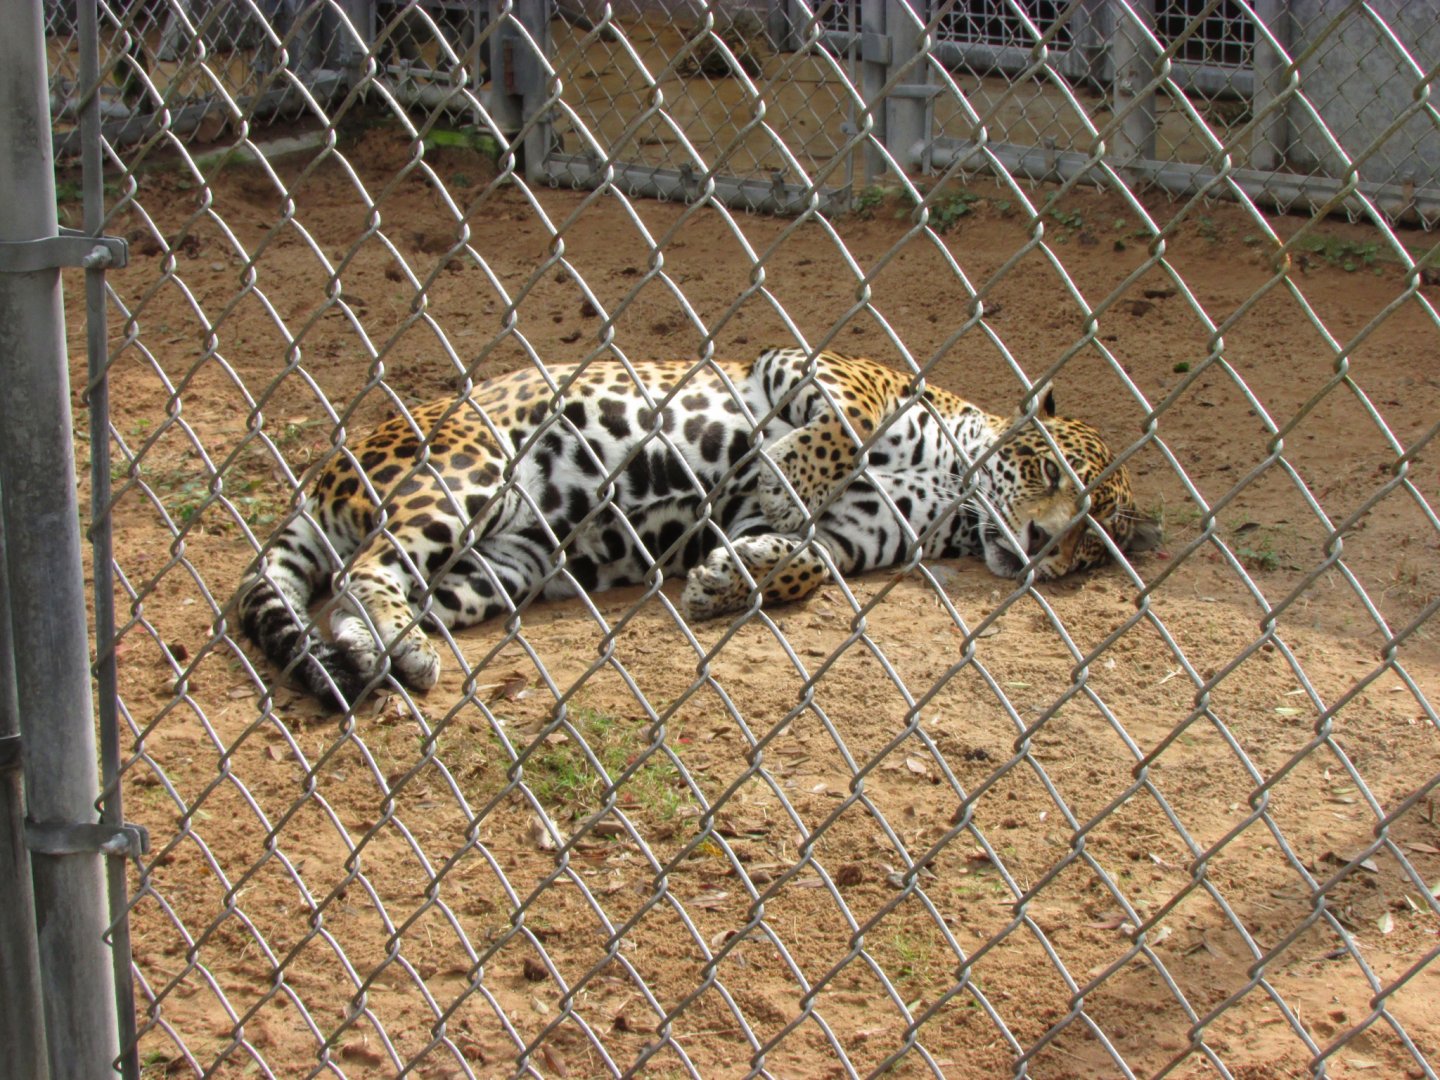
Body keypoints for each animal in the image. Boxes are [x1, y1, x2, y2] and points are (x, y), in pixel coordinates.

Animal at [238, 348, 1160, 708]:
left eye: (1095, 543)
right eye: (1049, 475)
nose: (1042, 547)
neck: (956, 496)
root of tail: (327, 471)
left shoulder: (855, 535)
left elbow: (808, 560)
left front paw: (730, 578)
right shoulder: (816, 368)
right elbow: (844, 428)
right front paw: (789, 478)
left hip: (511, 560)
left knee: (376, 589)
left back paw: (380, 650)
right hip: (465, 469)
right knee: (365, 568)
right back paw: (392, 646)